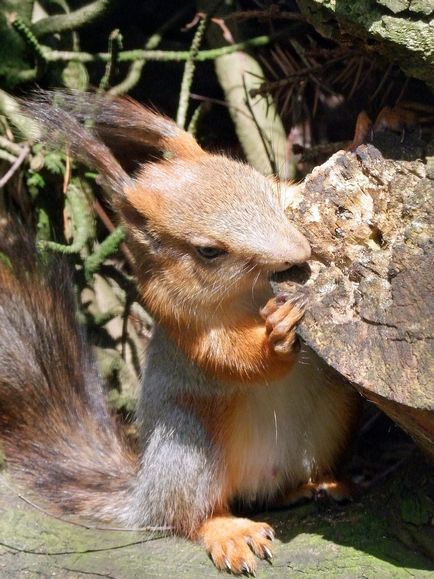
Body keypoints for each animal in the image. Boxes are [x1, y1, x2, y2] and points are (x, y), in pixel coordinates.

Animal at [0, 92, 360, 576]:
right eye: (208, 251)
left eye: (265, 187)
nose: (298, 252)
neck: (252, 292)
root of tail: (145, 496)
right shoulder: (181, 318)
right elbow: (229, 355)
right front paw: (275, 335)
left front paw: (366, 131)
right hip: (190, 443)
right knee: (190, 517)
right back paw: (229, 532)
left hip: (331, 418)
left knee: (277, 491)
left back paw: (317, 485)